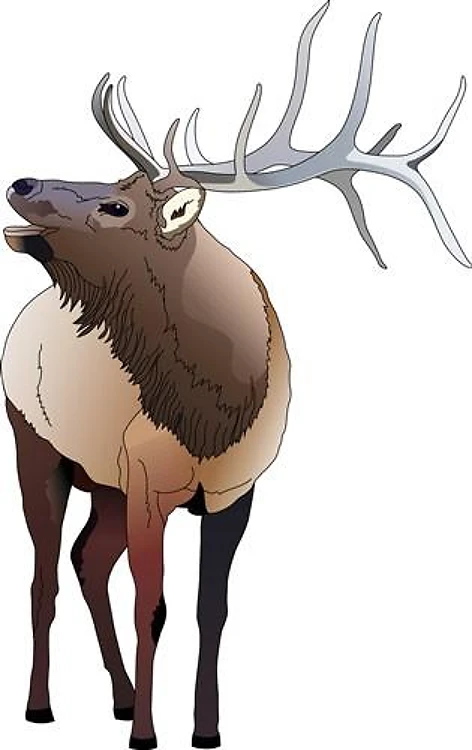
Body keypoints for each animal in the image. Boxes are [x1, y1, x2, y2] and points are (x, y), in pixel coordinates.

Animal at [1, 3, 467, 749]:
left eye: (116, 207)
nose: (21, 182)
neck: (213, 409)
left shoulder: (233, 488)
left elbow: (207, 608)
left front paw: (202, 728)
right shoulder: (148, 482)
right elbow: (152, 605)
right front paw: (148, 733)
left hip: (102, 479)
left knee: (84, 562)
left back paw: (118, 698)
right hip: (34, 443)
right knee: (44, 574)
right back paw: (41, 706)